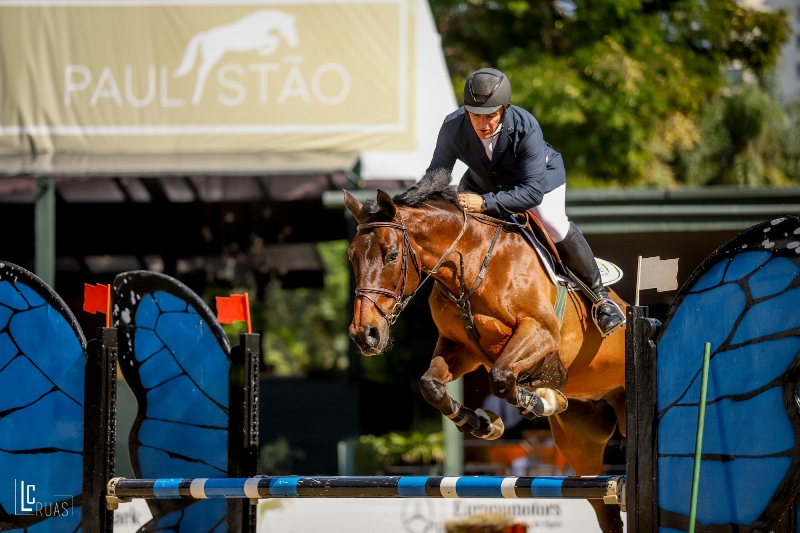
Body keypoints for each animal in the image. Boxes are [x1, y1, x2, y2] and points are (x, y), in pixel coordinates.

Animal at [344, 170, 628, 533]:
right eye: (352, 257)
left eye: (391, 255)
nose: (364, 335)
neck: (472, 263)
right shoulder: (460, 348)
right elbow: (431, 385)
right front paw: (484, 424)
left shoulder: (540, 332)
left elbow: (502, 376)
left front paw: (543, 400)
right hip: (581, 442)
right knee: (604, 502)